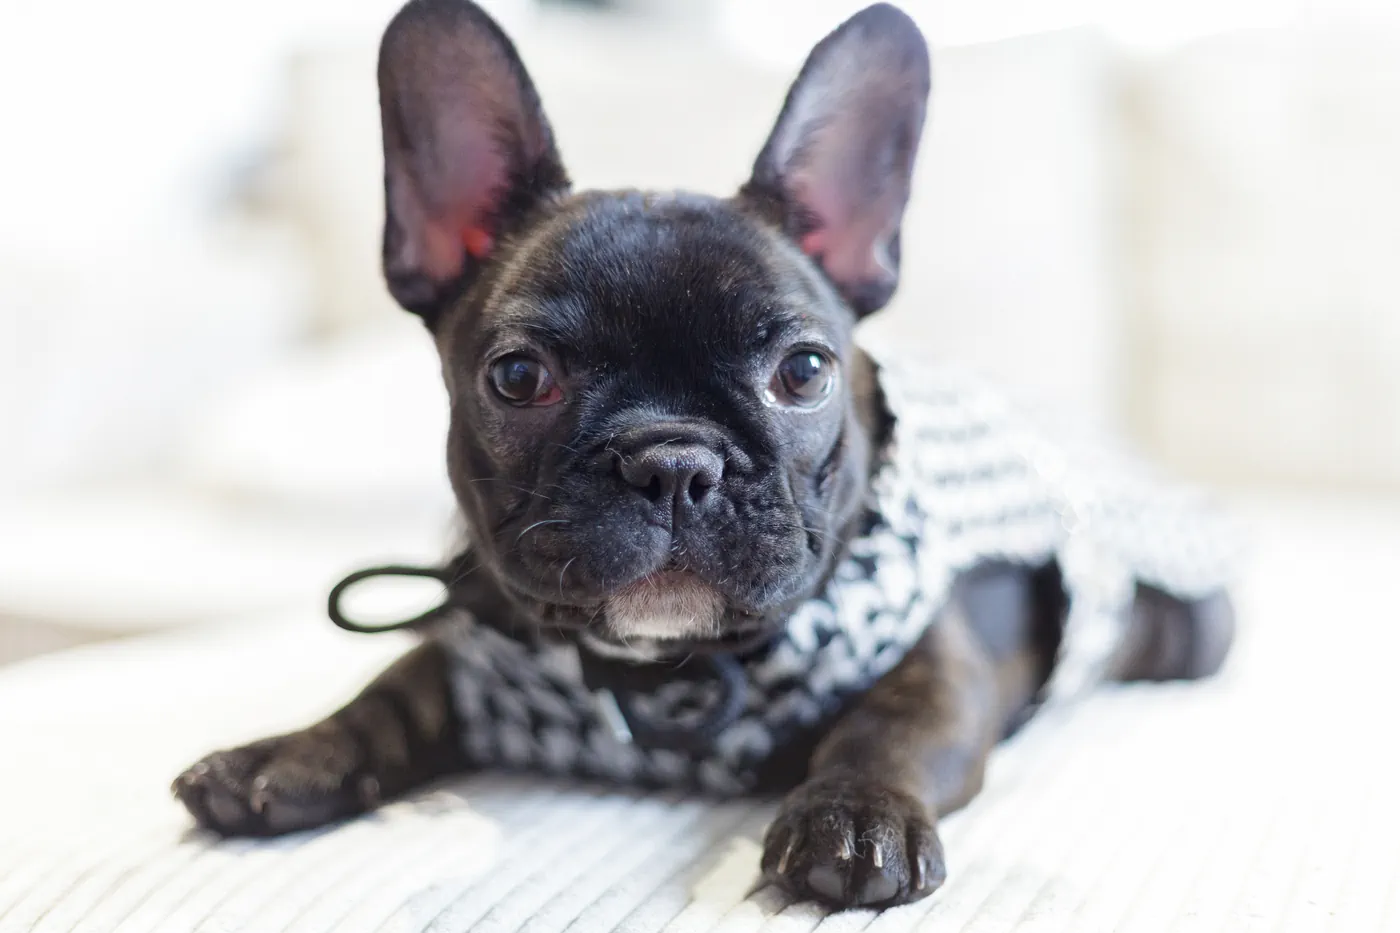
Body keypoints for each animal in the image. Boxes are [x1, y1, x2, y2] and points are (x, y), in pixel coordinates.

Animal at [174, 0, 1236, 909]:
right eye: (517, 376)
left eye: (803, 371)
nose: (674, 462)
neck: (664, 671)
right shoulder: (478, 643)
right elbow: (393, 686)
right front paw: (288, 753)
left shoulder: (937, 655)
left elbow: (896, 723)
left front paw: (855, 817)